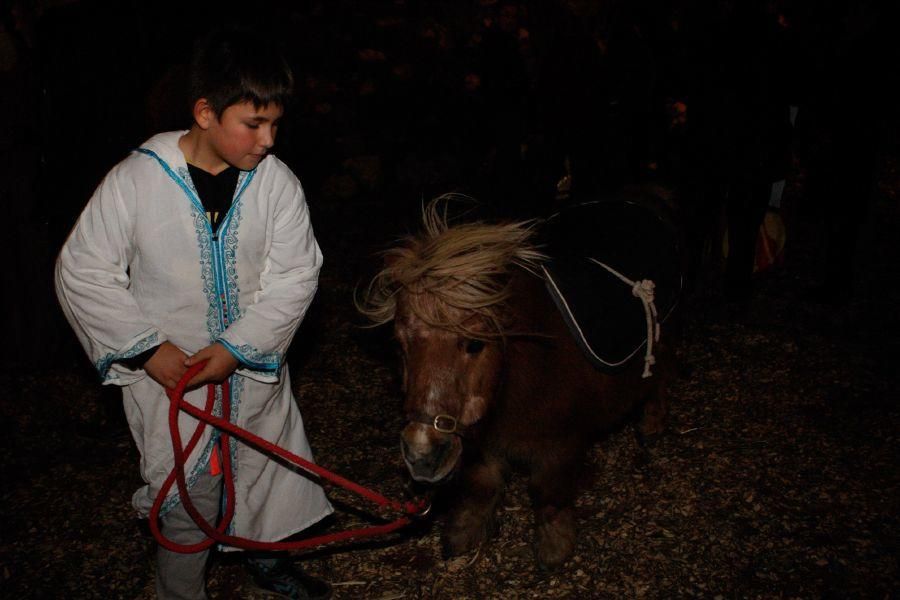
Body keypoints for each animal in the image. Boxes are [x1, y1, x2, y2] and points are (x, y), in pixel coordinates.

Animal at [358, 197, 676, 568]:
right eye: (399, 345)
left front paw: (554, 547)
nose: (422, 455)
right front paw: (465, 532)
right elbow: (481, 485)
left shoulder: (561, 445)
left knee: (661, 370)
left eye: (475, 344)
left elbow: (548, 494)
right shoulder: (481, 439)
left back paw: (652, 423)